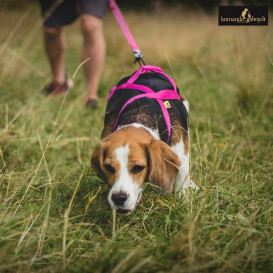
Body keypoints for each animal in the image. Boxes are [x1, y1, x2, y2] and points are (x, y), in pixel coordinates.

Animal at [91, 65, 196, 214]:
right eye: (109, 167)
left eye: (137, 168)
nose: (118, 198)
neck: (140, 115)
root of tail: (147, 70)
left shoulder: (180, 155)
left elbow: (181, 184)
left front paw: (184, 207)